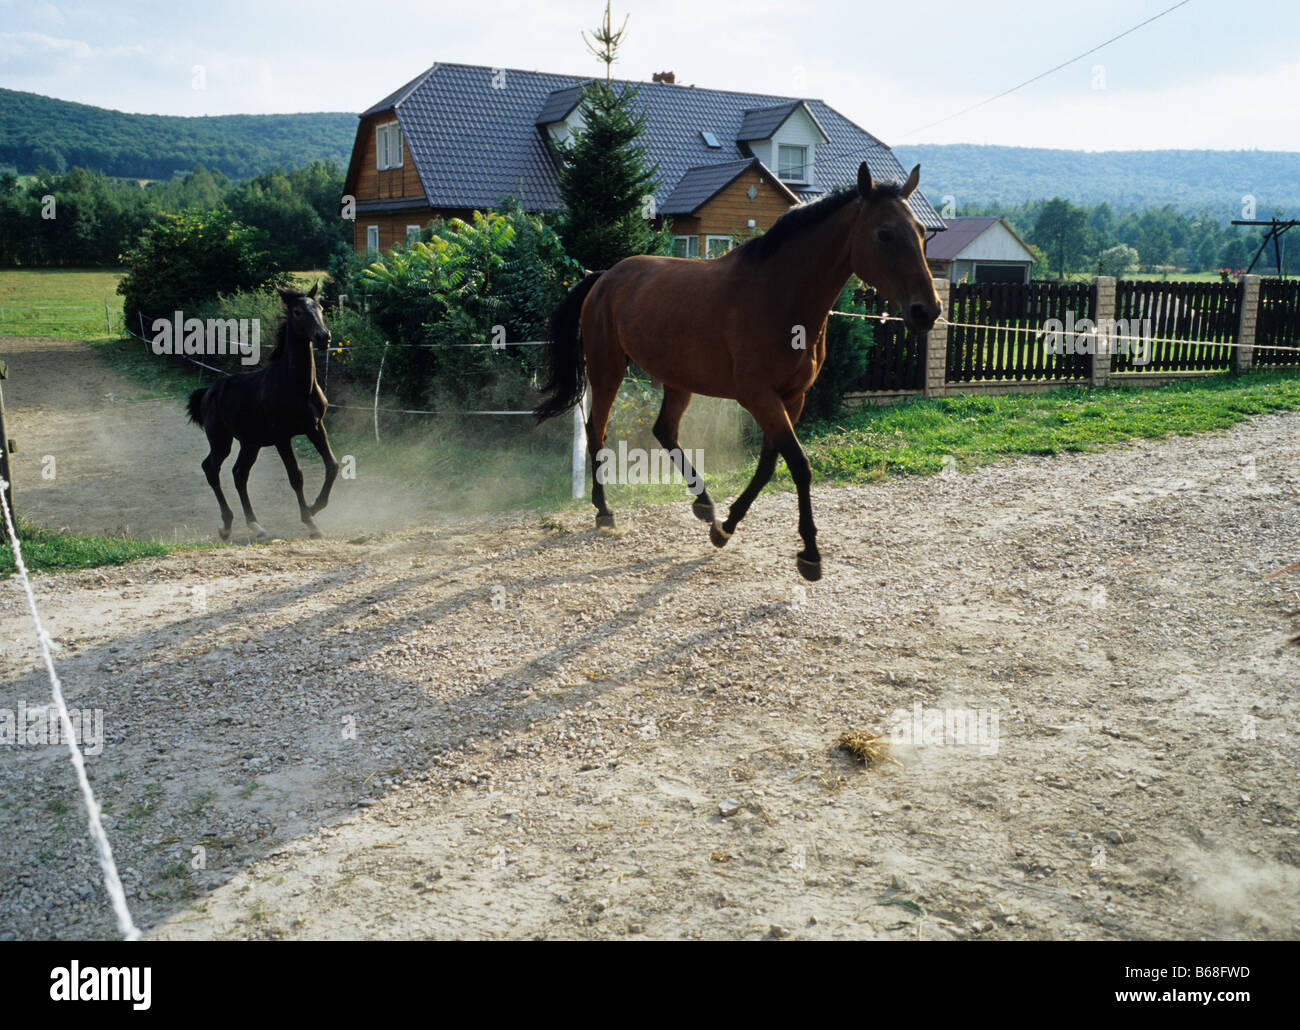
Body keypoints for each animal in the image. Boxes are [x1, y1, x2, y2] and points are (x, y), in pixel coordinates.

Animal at [533, 161, 941, 580]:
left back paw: (703, 504)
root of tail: (606, 275)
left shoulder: (792, 398)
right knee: (596, 429)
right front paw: (810, 554)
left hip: (679, 379)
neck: (779, 296)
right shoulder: (759, 397)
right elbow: (799, 464)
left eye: (921, 231)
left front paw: (725, 528)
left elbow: (769, 464)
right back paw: (604, 510)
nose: (928, 311)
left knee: (664, 430)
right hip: (607, 369)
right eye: (884, 233)